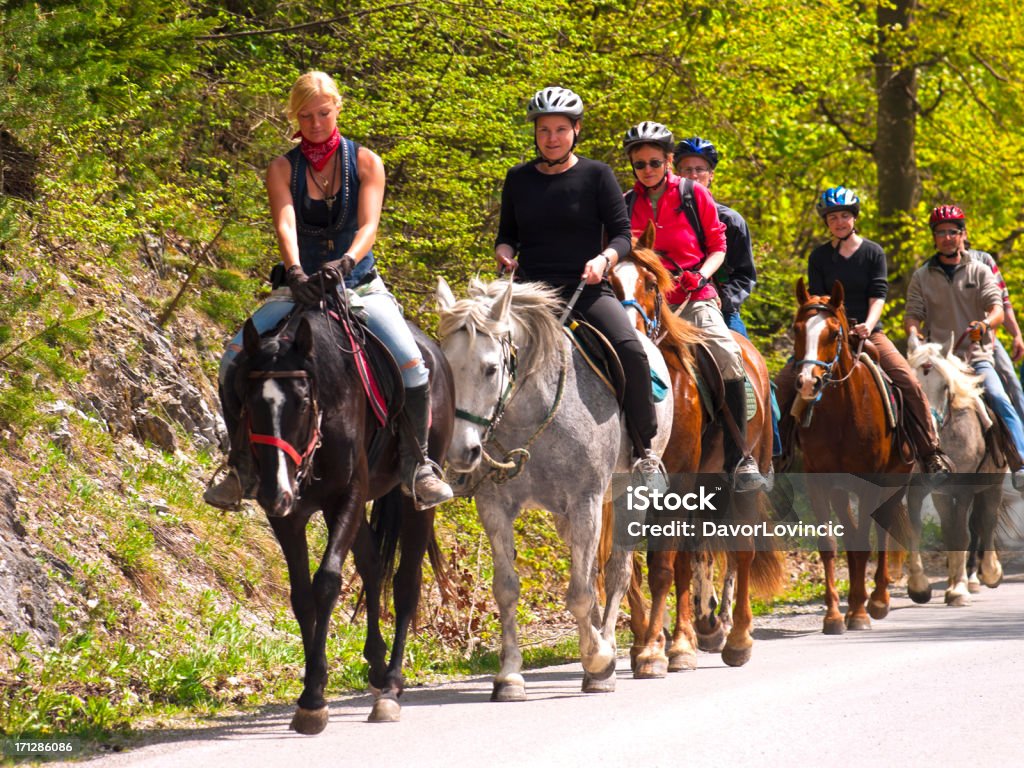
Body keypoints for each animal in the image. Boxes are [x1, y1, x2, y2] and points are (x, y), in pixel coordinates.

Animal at [232, 301, 456, 733]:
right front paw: (311, 690)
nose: (274, 491)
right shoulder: (288, 516)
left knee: (405, 583)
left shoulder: (346, 496)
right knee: (372, 565)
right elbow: (302, 595)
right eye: (248, 403)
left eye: (303, 403)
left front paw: (314, 700)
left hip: (414, 501)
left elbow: (327, 583)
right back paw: (377, 664)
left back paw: (391, 686)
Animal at [436, 278, 675, 704]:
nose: (462, 452)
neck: (530, 415)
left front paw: (599, 660)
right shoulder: (494, 507)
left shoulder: (586, 503)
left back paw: (611, 654)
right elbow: (507, 589)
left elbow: (581, 592)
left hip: (627, 493)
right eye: (446, 365)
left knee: (617, 573)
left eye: (490, 368)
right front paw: (509, 676)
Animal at [598, 224, 782, 679]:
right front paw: (649, 643)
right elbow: (630, 567)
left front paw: (663, 649)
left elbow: (665, 565)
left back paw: (735, 639)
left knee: (740, 551)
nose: (630, 333)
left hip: (744, 474)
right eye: (608, 283)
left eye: (651, 283)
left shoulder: (677, 479)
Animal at [782, 280, 913, 634]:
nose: (808, 382)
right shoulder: (820, 483)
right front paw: (833, 616)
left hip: (895, 483)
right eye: (797, 329)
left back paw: (878, 600)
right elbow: (831, 545)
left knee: (881, 529)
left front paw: (859, 613)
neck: (841, 412)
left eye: (833, 334)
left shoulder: (868, 481)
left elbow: (863, 541)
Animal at [909, 335, 1003, 606]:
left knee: (985, 522)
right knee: (954, 527)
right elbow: (918, 529)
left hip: (993, 485)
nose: (926, 426)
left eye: (944, 386)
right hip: (943, 494)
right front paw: (919, 587)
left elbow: (963, 534)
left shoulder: (963, 490)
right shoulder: (920, 489)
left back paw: (987, 573)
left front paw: (959, 590)